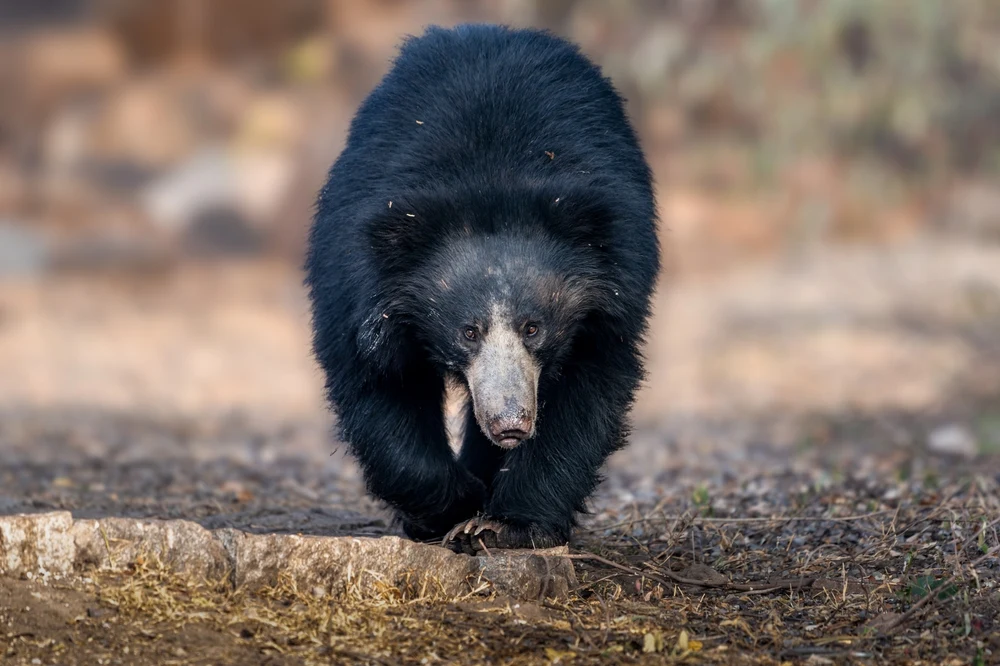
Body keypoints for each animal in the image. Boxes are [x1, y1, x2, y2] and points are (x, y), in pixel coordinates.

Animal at [305, 24, 659, 553]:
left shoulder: (613, 295)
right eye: (467, 332)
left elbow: (587, 392)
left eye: (534, 328)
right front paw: (454, 508)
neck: (490, 187)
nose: (510, 424)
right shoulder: (356, 283)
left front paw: (506, 523)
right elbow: (378, 382)